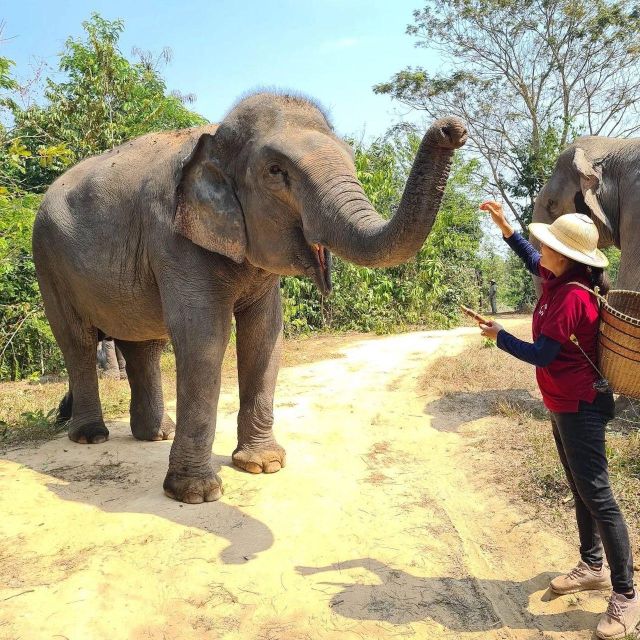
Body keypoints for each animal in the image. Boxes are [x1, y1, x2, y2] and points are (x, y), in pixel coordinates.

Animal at [32, 90, 468, 502]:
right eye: (276, 172)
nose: (452, 129)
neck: (215, 137)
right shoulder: (173, 238)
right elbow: (204, 339)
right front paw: (196, 494)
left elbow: (265, 336)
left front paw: (263, 466)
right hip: (48, 262)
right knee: (78, 342)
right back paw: (91, 436)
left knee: (144, 346)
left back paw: (155, 434)